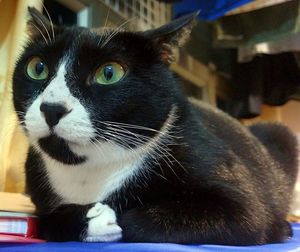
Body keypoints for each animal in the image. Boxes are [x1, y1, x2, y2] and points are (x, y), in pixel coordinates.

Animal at [11, 6, 298, 245]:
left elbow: (136, 221)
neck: (89, 168)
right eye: (37, 67)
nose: (52, 108)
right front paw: (90, 219)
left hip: (279, 134)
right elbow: (45, 222)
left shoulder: (241, 203)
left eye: (109, 73)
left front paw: (107, 218)